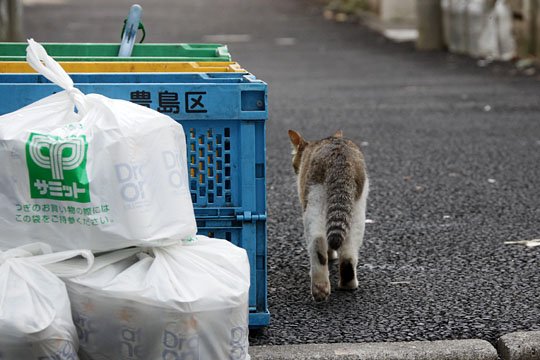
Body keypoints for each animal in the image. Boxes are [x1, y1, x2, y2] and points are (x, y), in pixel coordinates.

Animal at [286, 129, 368, 300]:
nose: (296, 168)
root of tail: (339, 159)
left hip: (313, 201)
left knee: (317, 240)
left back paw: (319, 289)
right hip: (357, 207)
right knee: (349, 250)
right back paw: (348, 284)